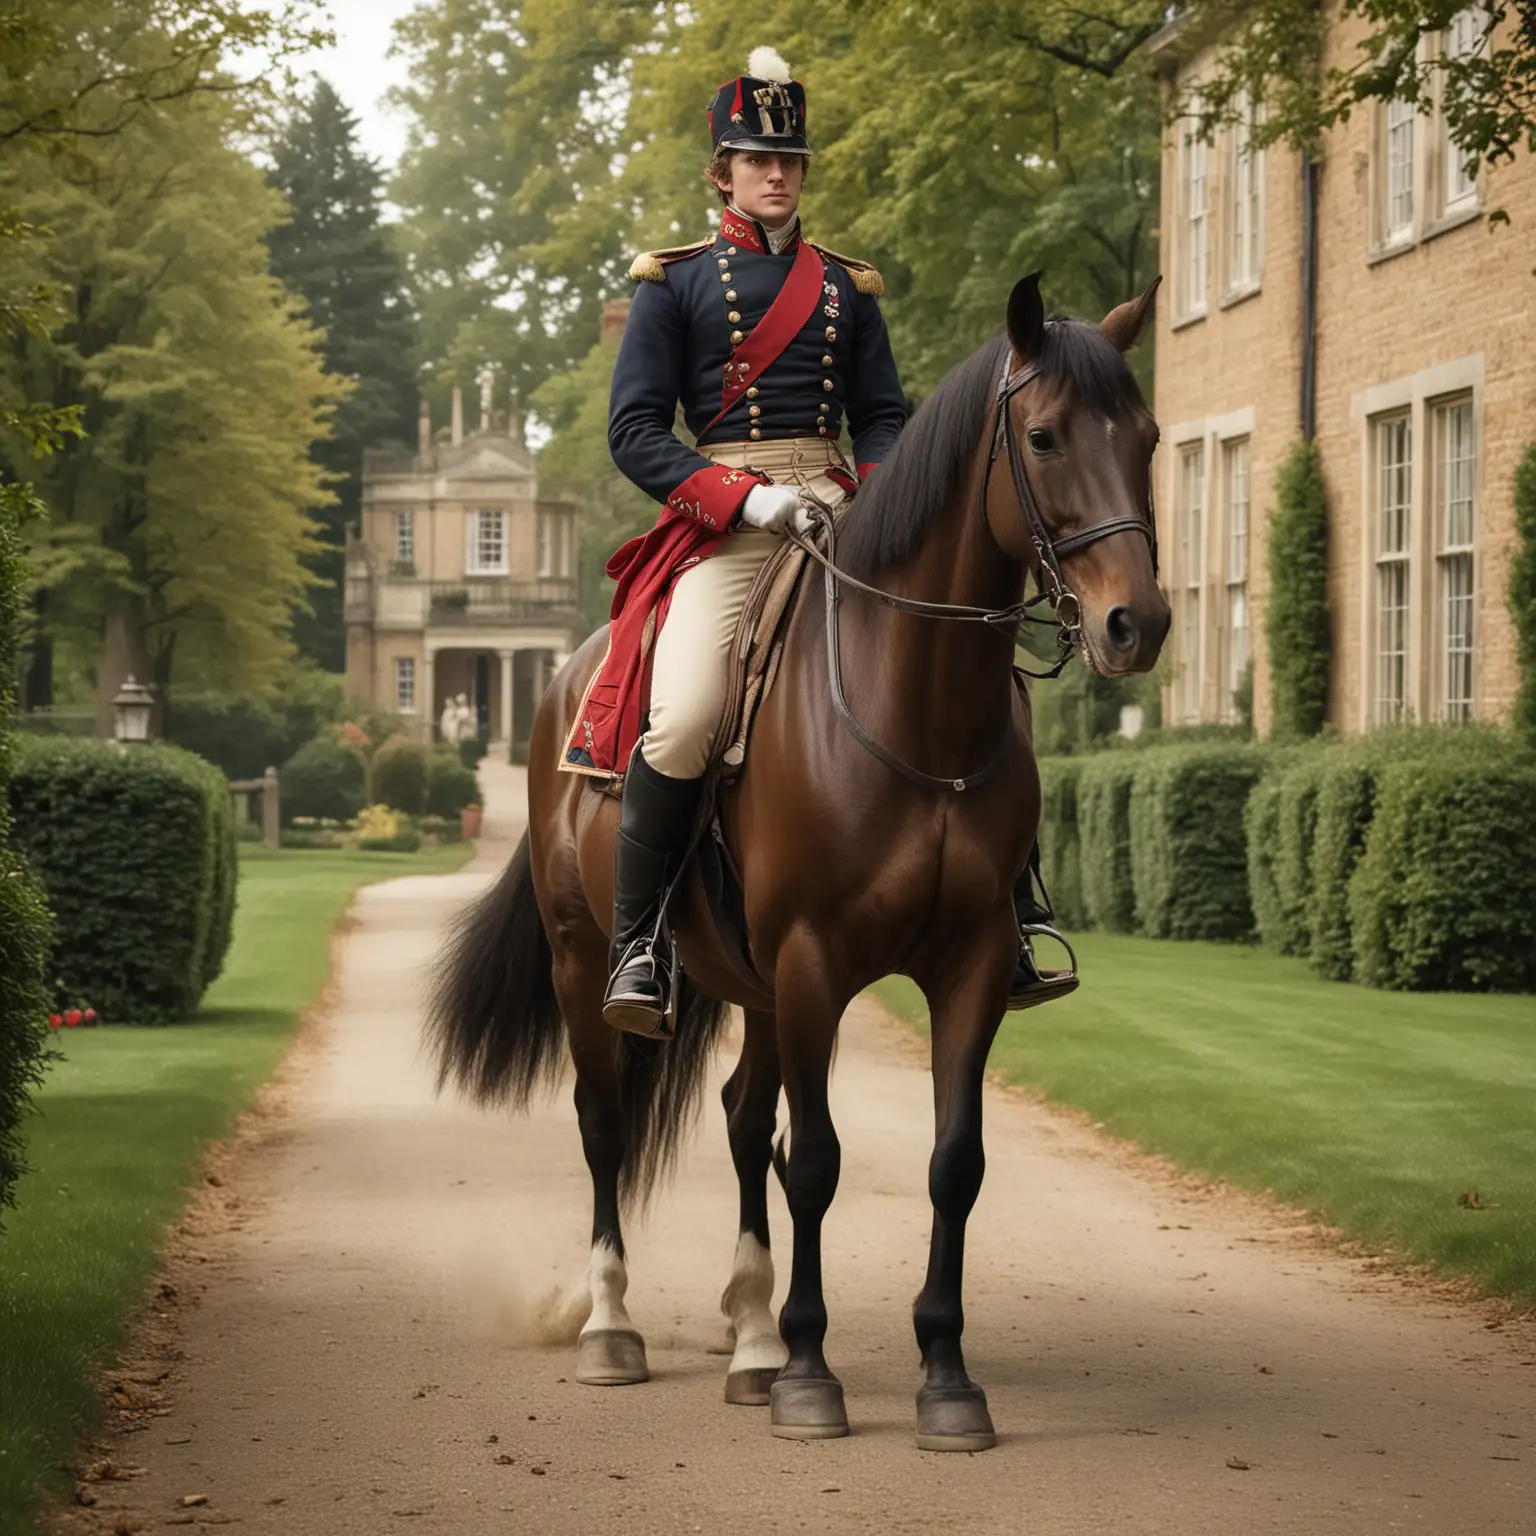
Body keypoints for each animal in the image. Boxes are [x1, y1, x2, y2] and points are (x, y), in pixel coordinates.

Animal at [427, 270, 1167, 1456]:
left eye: (1143, 437)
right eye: (1045, 435)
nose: (1134, 623)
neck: (913, 708)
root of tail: (569, 675)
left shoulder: (966, 968)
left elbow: (951, 1164)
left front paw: (943, 1377)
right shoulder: (814, 961)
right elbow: (813, 1159)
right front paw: (816, 1379)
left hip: (753, 982)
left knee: (738, 1122)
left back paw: (751, 1342)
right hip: (590, 959)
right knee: (605, 1122)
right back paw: (615, 1329)